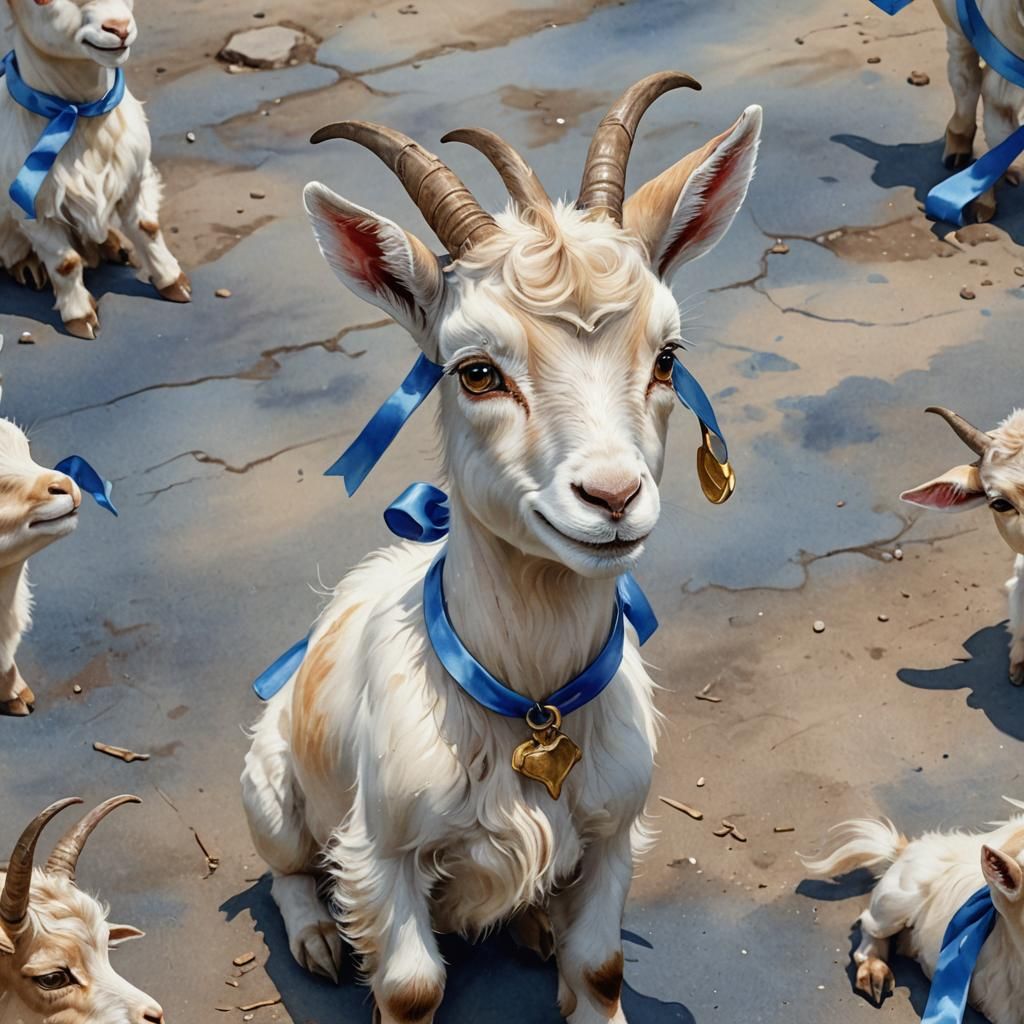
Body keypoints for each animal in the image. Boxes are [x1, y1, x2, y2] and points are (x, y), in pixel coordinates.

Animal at [0, 0, 189, 338]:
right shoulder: (32, 210)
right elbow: (65, 263)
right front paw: (80, 317)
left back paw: (115, 245)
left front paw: (173, 282)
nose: (120, 28)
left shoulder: (135, 179)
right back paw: (28, 266)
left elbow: (148, 228)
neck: (80, 117)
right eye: (41, 0)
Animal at [242, 72, 761, 1023]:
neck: (527, 698)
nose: (612, 497)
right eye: (476, 370)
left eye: (667, 357)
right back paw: (317, 940)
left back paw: (533, 925)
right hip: (268, 791)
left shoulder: (612, 834)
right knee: (284, 869)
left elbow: (599, 966)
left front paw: (571, 958)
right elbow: (410, 986)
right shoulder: (383, 855)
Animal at [932, 0, 1024, 222]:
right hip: (954, 25)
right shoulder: (1001, 85)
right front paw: (982, 209)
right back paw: (956, 155)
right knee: (964, 73)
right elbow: (999, 135)